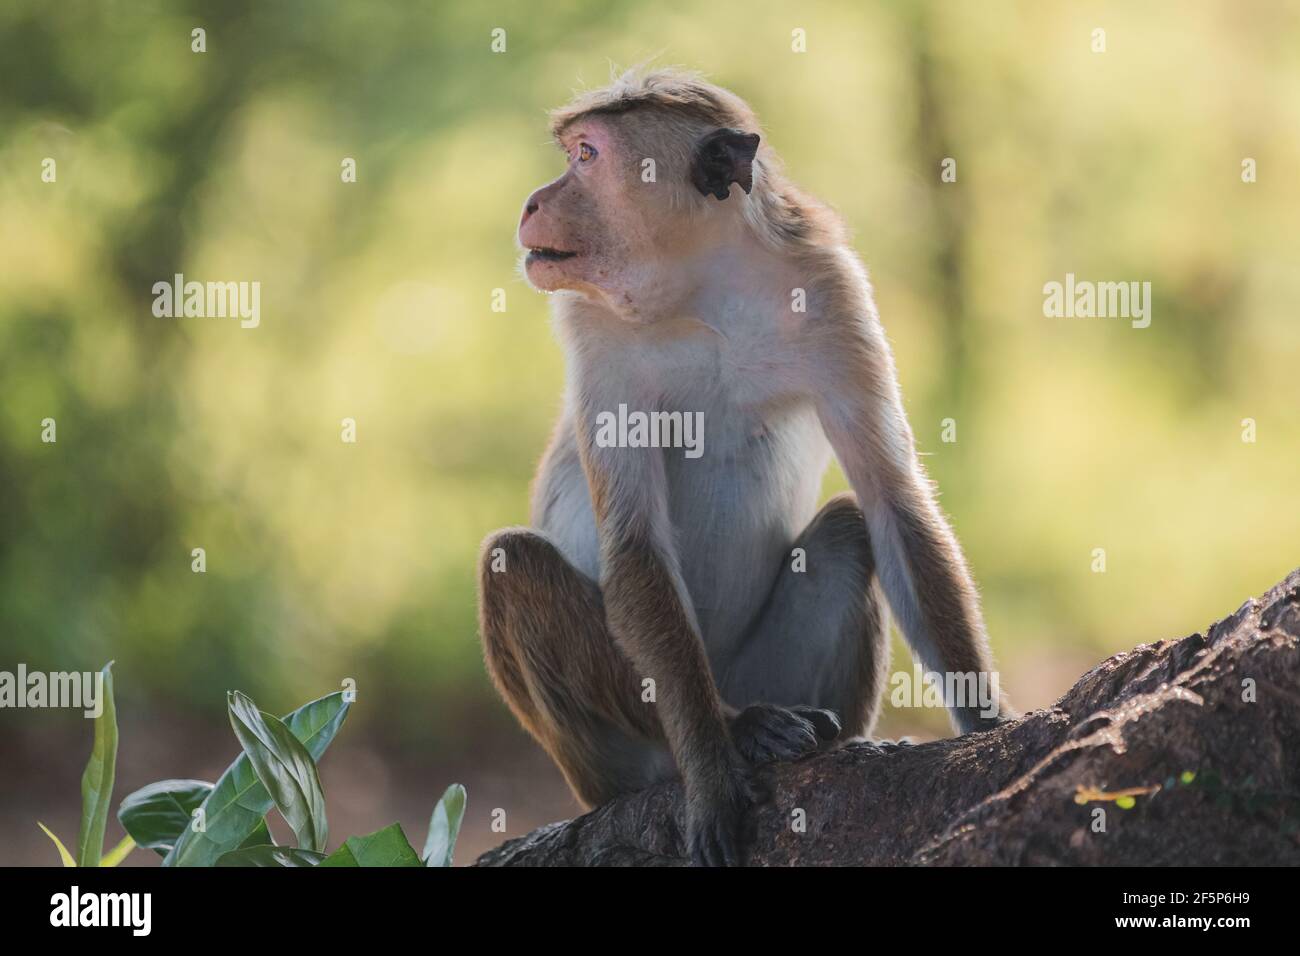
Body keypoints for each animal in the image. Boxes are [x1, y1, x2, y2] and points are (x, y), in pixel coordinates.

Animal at [478, 68, 1012, 866]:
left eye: (585, 156)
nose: (532, 201)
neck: (704, 290)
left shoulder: (832, 288)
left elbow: (890, 499)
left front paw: (987, 722)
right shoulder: (595, 333)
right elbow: (634, 545)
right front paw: (714, 763)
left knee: (848, 529)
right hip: (610, 758)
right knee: (513, 563)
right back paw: (736, 728)